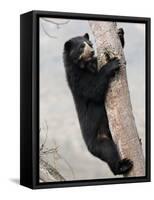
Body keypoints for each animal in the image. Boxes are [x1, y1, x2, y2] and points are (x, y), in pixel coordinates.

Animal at [63, 28, 133, 174]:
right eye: (81, 46)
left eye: (90, 43)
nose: (92, 51)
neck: (84, 65)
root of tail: (89, 148)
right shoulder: (76, 78)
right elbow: (93, 90)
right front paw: (112, 64)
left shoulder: (94, 63)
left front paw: (120, 33)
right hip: (99, 139)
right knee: (108, 151)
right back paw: (123, 166)